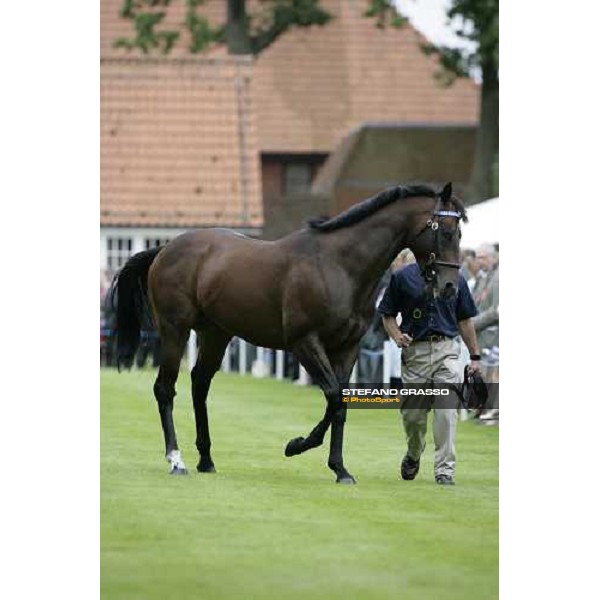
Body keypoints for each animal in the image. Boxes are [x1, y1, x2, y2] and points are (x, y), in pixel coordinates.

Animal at [109, 182, 464, 482]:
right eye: (446, 232)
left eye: (459, 232)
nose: (450, 287)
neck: (338, 265)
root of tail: (165, 249)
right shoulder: (305, 343)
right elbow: (333, 396)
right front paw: (298, 445)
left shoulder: (347, 347)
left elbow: (340, 403)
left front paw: (339, 468)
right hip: (174, 331)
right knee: (165, 389)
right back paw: (176, 459)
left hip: (216, 334)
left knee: (200, 384)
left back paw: (206, 459)